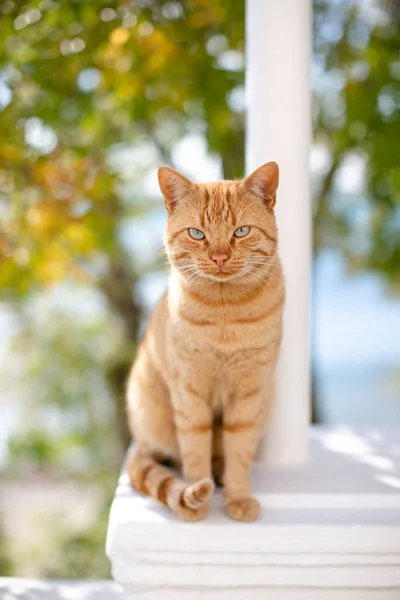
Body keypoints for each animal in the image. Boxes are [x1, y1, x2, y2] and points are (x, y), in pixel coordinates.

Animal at [126, 163, 282, 520]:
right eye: (197, 234)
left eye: (241, 231)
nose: (220, 257)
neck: (225, 313)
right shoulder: (189, 392)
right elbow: (195, 452)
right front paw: (198, 498)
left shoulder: (248, 393)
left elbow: (239, 452)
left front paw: (237, 498)